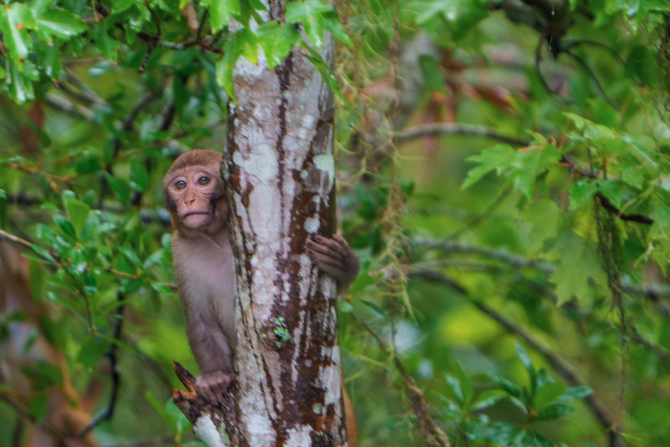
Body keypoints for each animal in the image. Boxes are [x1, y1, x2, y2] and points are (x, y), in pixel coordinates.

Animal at [163, 150, 362, 444]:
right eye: (179, 185)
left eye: (202, 181)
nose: (188, 199)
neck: (217, 236)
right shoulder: (181, 249)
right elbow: (201, 320)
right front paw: (215, 376)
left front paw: (344, 264)